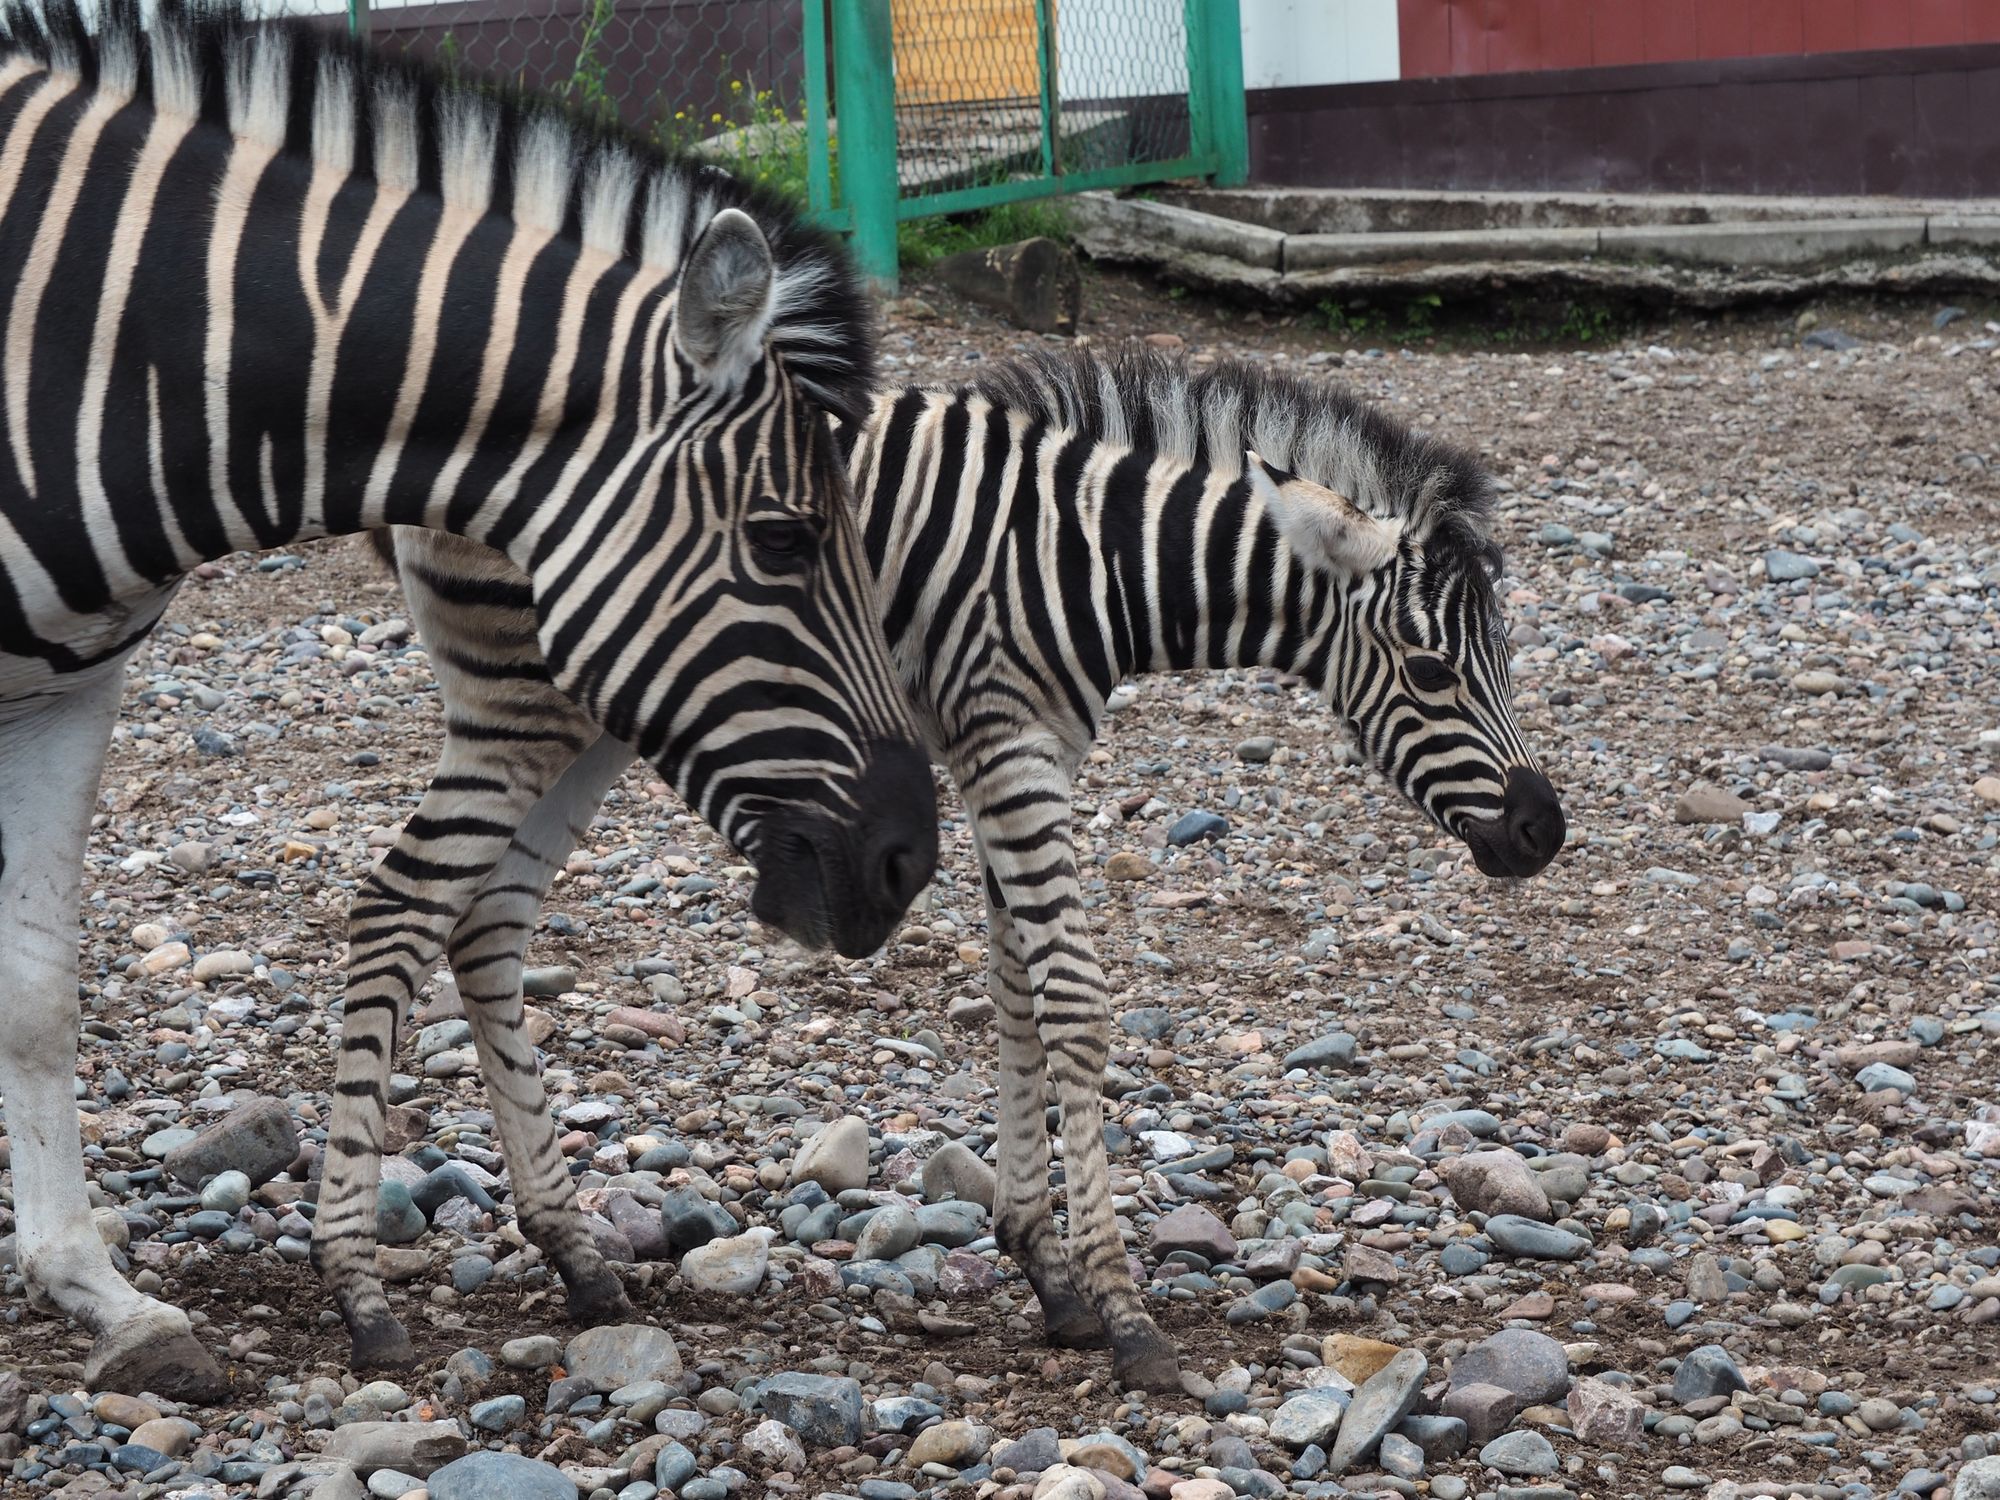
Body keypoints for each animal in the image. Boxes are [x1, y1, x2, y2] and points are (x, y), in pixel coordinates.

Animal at [0, 2, 936, 1408]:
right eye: (783, 539)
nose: (907, 858)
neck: (98, 348)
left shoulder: (75, 681)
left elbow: (38, 989)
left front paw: (92, 1286)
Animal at [364, 346, 1576, 1392]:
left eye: (1506, 657)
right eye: (1429, 671)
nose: (1544, 832)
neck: (1090, 561)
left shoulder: (1028, 750)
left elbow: (1013, 993)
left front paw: (1045, 1268)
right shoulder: (1008, 741)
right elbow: (1072, 1000)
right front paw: (1124, 1310)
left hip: (592, 719)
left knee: (486, 923)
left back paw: (574, 1260)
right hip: (518, 702)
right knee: (401, 906)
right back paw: (358, 1295)